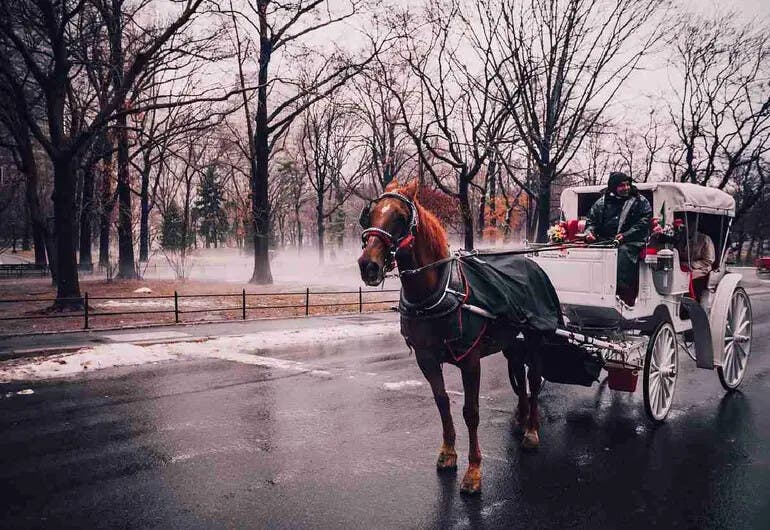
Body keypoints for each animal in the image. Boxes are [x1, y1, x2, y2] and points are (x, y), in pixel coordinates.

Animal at [357, 181, 556, 495]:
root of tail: (531, 264)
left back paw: (532, 430)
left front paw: (474, 471)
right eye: (370, 214)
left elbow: (471, 412)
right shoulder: (426, 358)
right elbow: (441, 402)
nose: (368, 265)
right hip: (512, 341)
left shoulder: (470, 359)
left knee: (534, 381)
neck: (436, 292)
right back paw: (521, 419)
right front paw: (448, 453)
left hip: (535, 337)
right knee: (519, 375)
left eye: (400, 217)